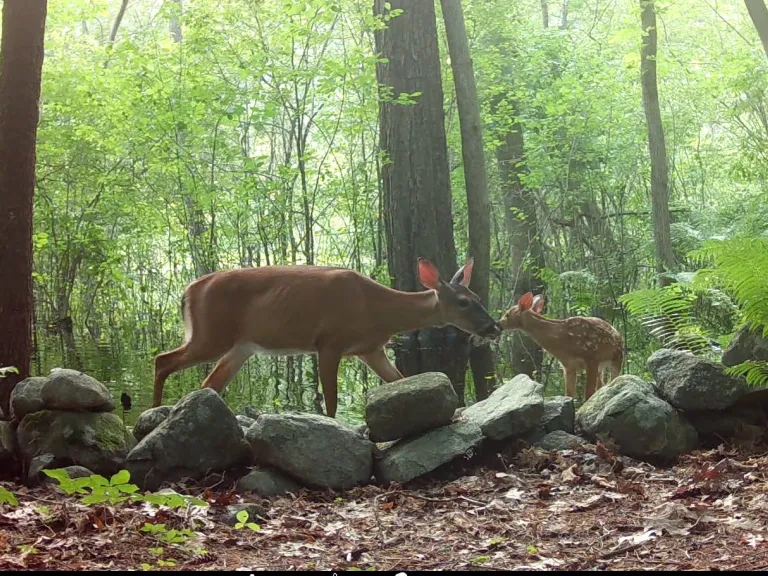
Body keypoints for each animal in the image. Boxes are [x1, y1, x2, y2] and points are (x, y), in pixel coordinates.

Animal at [152, 257, 502, 418]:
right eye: (464, 302)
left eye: (478, 296)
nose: (494, 328)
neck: (377, 309)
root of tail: (186, 292)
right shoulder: (329, 342)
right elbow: (331, 401)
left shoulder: (370, 350)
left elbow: (399, 380)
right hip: (211, 334)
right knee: (162, 360)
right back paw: (152, 412)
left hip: (240, 347)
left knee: (208, 383)